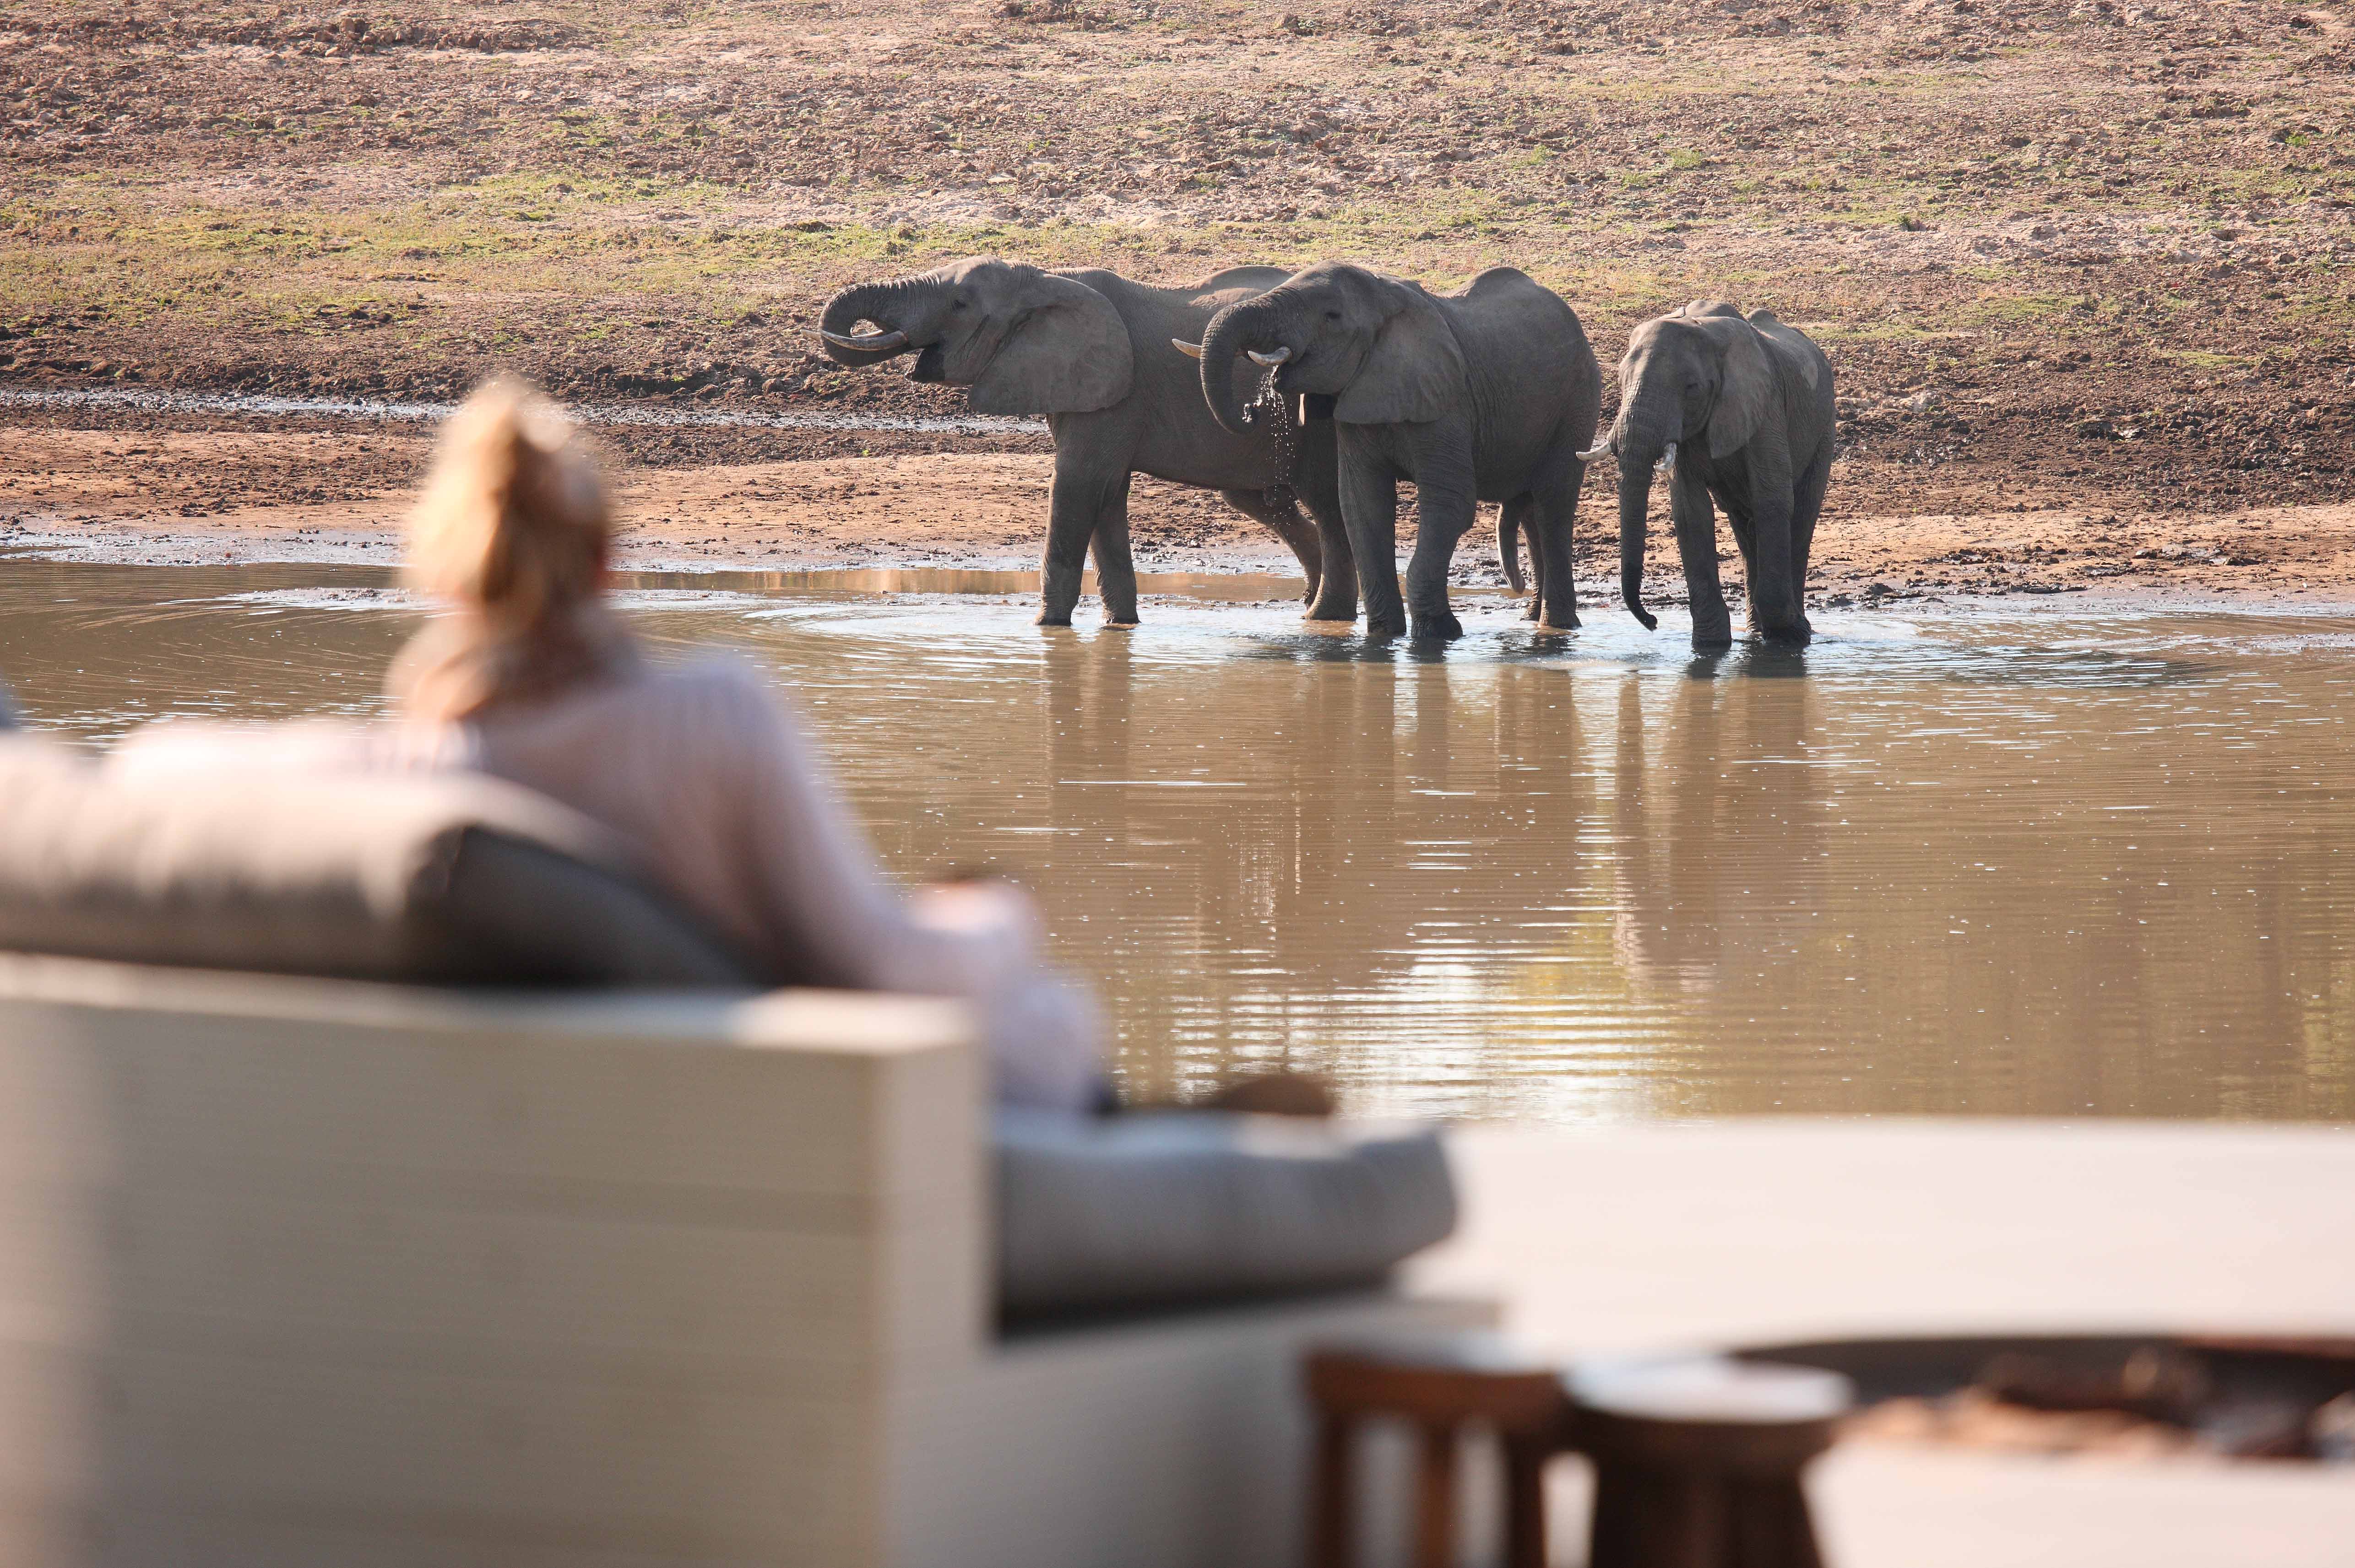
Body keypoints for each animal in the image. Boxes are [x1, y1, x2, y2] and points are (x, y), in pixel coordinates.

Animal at [816, 257, 1356, 627]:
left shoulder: (1113, 394)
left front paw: (1045, 628)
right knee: (1261, 501)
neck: (1046, 279)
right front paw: (1121, 627)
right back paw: (1309, 604)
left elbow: (1077, 488)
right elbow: (1106, 496)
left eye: (959, 305)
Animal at [1187, 261, 1601, 641]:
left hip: (1578, 401)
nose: (1251, 410)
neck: (1386, 299)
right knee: (1531, 508)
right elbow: (1361, 507)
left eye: (1332, 317)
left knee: (1554, 505)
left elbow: (1449, 503)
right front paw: (1384, 636)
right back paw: (1535, 622)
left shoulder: (1446, 402)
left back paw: (1558, 628)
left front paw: (1438, 634)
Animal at [1583, 301, 1836, 647]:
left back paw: (1797, 631)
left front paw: (1791, 637)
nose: (1653, 621)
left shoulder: (1765, 406)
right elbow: (1691, 513)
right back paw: (1756, 632)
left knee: (1801, 517)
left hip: (1824, 427)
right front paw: (1709, 646)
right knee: (1745, 527)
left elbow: (1772, 500)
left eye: (1691, 387)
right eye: (1621, 380)